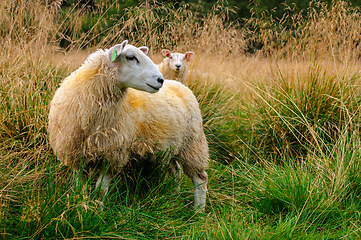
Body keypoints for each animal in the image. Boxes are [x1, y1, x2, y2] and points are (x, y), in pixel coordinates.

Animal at [47, 39, 208, 210]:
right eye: (131, 57)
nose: (160, 80)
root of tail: (180, 86)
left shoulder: (113, 154)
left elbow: (100, 191)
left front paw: (97, 210)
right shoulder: (76, 155)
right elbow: (79, 188)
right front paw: (79, 206)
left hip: (193, 144)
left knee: (200, 178)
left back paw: (198, 210)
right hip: (172, 147)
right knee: (176, 170)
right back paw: (174, 197)